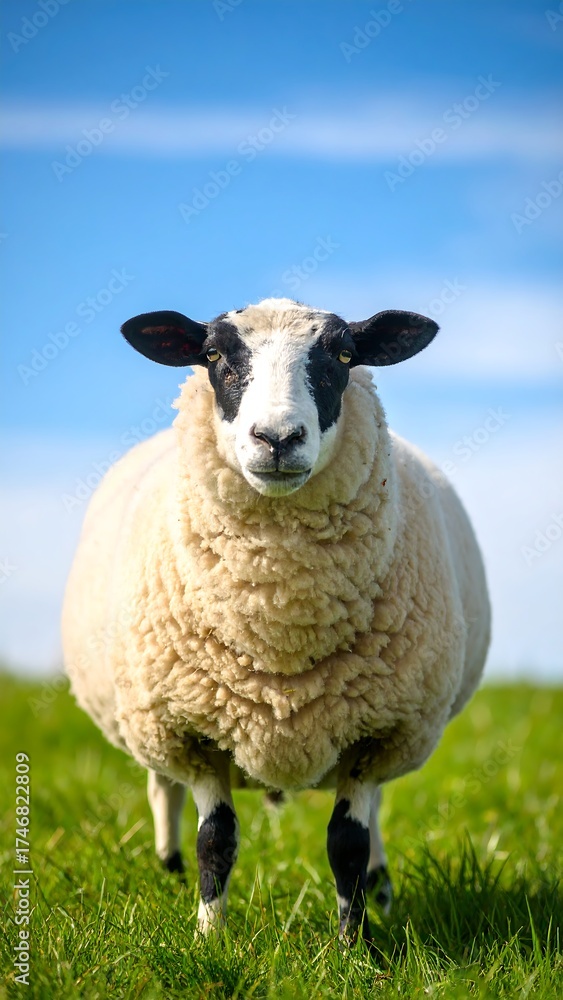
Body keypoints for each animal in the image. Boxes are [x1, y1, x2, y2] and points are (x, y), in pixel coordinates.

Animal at [62, 296, 490, 944]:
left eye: (345, 355)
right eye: (213, 354)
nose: (278, 438)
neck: (279, 613)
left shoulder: (376, 733)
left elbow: (347, 844)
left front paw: (354, 945)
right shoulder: (191, 729)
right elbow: (216, 840)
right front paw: (208, 938)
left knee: (375, 819)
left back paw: (382, 889)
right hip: (147, 715)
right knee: (163, 791)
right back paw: (167, 868)